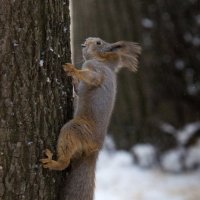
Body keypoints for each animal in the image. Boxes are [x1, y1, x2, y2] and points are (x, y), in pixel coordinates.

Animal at [40, 37, 141, 200]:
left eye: (99, 42)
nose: (86, 41)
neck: (103, 62)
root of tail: (94, 149)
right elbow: (78, 89)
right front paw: (73, 78)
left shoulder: (97, 71)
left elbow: (92, 78)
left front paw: (73, 70)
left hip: (74, 130)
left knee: (65, 162)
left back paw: (52, 162)